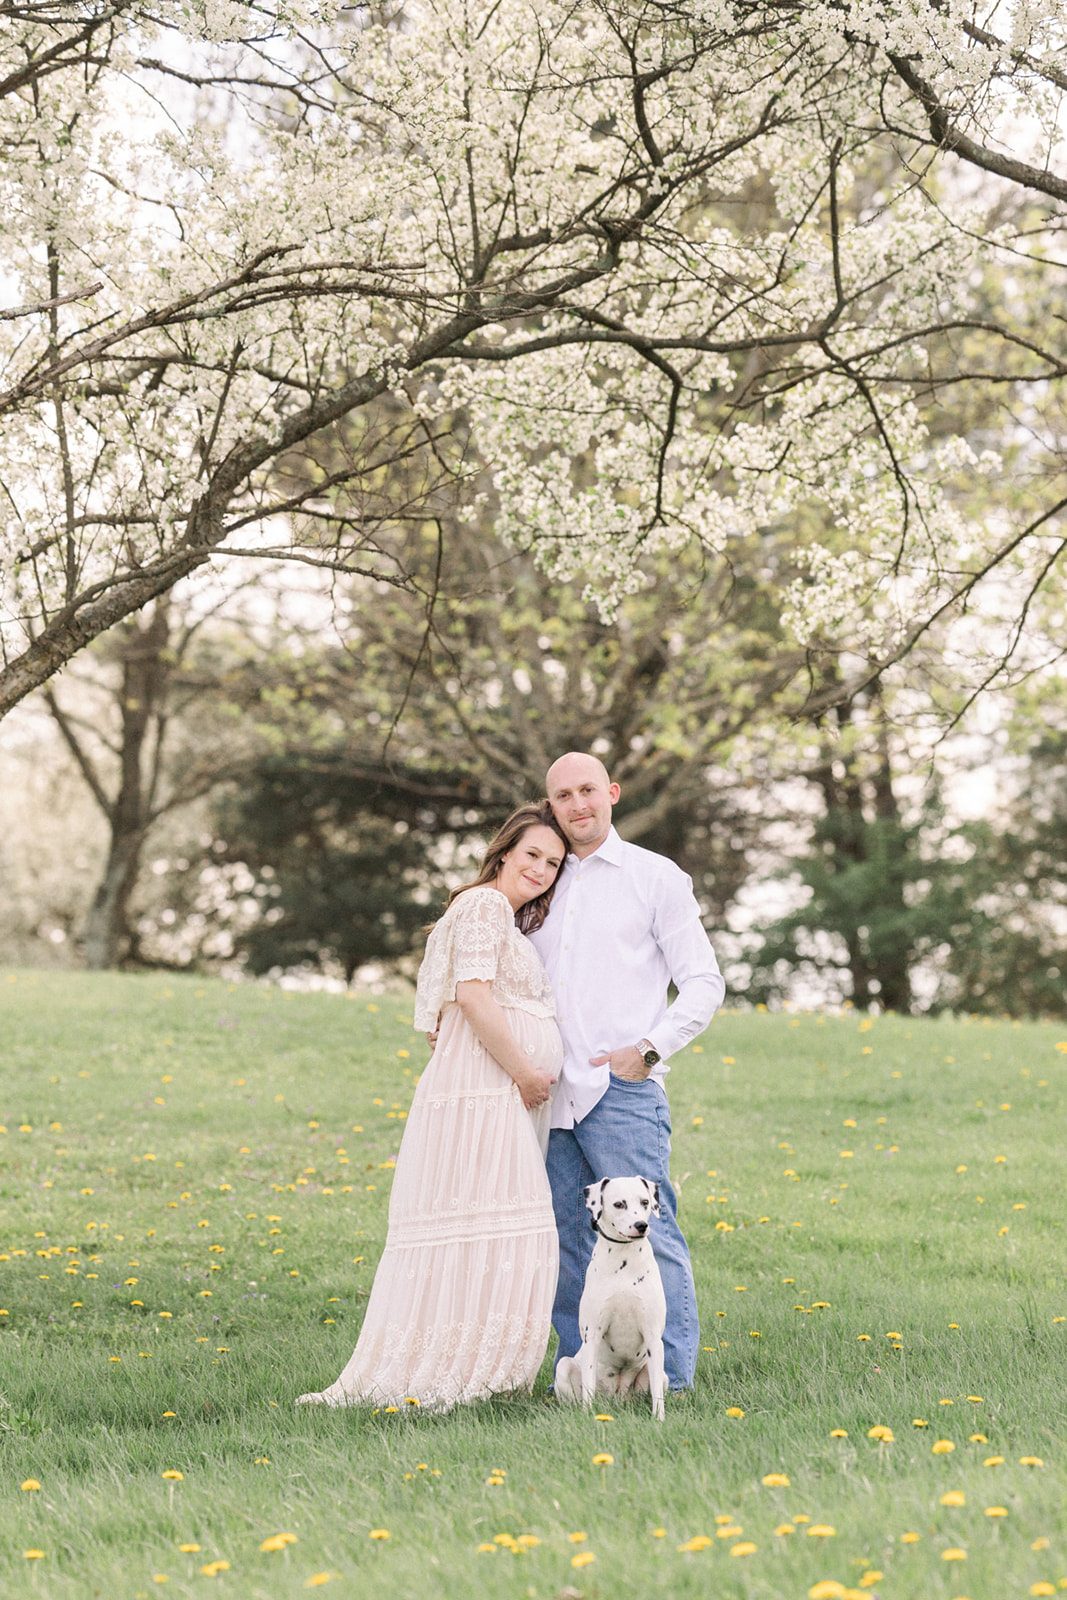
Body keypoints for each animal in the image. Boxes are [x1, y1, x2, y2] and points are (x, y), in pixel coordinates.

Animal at [559, 1171, 668, 1420]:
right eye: (619, 1204)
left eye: (645, 1202)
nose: (641, 1225)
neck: (623, 1261)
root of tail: (616, 1399)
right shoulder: (592, 1335)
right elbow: (588, 1386)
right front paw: (588, 1416)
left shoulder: (653, 1337)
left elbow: (657, 1393)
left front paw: (659, 1418)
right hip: (563, 1366)